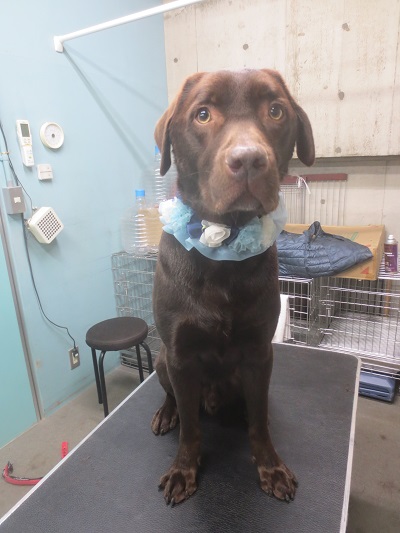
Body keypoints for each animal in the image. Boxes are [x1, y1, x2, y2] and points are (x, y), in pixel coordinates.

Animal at [151, 68, 315, 505]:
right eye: (203, 114)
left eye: (275, 111)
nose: (249, 160)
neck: (222, 246)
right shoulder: (180, 356)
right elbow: (191, 429)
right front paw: (183, 469)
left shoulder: (259, 354)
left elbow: (260, 421)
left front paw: (270, 467)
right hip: (161, 360)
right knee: (176, 400)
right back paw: (166, 414)